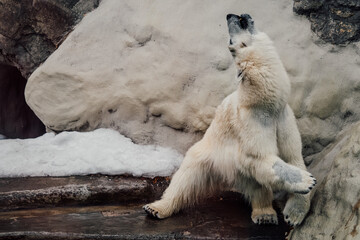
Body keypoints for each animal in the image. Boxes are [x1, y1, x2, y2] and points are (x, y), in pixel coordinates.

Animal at [143, 13, 316, 227]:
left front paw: (294, 214)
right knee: (185, 178)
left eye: (241, 21)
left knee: (257, 184)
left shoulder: (283, 118)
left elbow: (293, 156)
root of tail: (227, 176)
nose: (231, 15)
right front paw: (307, 181)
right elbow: (258, 156)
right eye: (231, 40)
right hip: (208, 156)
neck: (265, 103)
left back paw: (264, 214)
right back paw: (156, 208)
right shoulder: (251, 121)